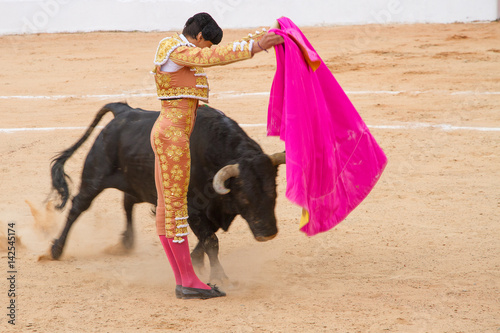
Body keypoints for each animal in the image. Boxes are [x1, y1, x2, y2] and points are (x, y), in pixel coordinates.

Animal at [50, 102, 286, 282]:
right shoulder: (194, 209)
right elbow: (211, 241)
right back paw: (56, 249)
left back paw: (126, 242)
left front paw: (194, 261)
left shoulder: (215, 211)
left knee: (127, 202)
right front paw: (219, 277)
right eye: (245, 197)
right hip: (94, 176)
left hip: (135, 181)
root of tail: (123, 110)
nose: (268, 234)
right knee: (78, 206)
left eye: (274, 193)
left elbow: (208, 238)